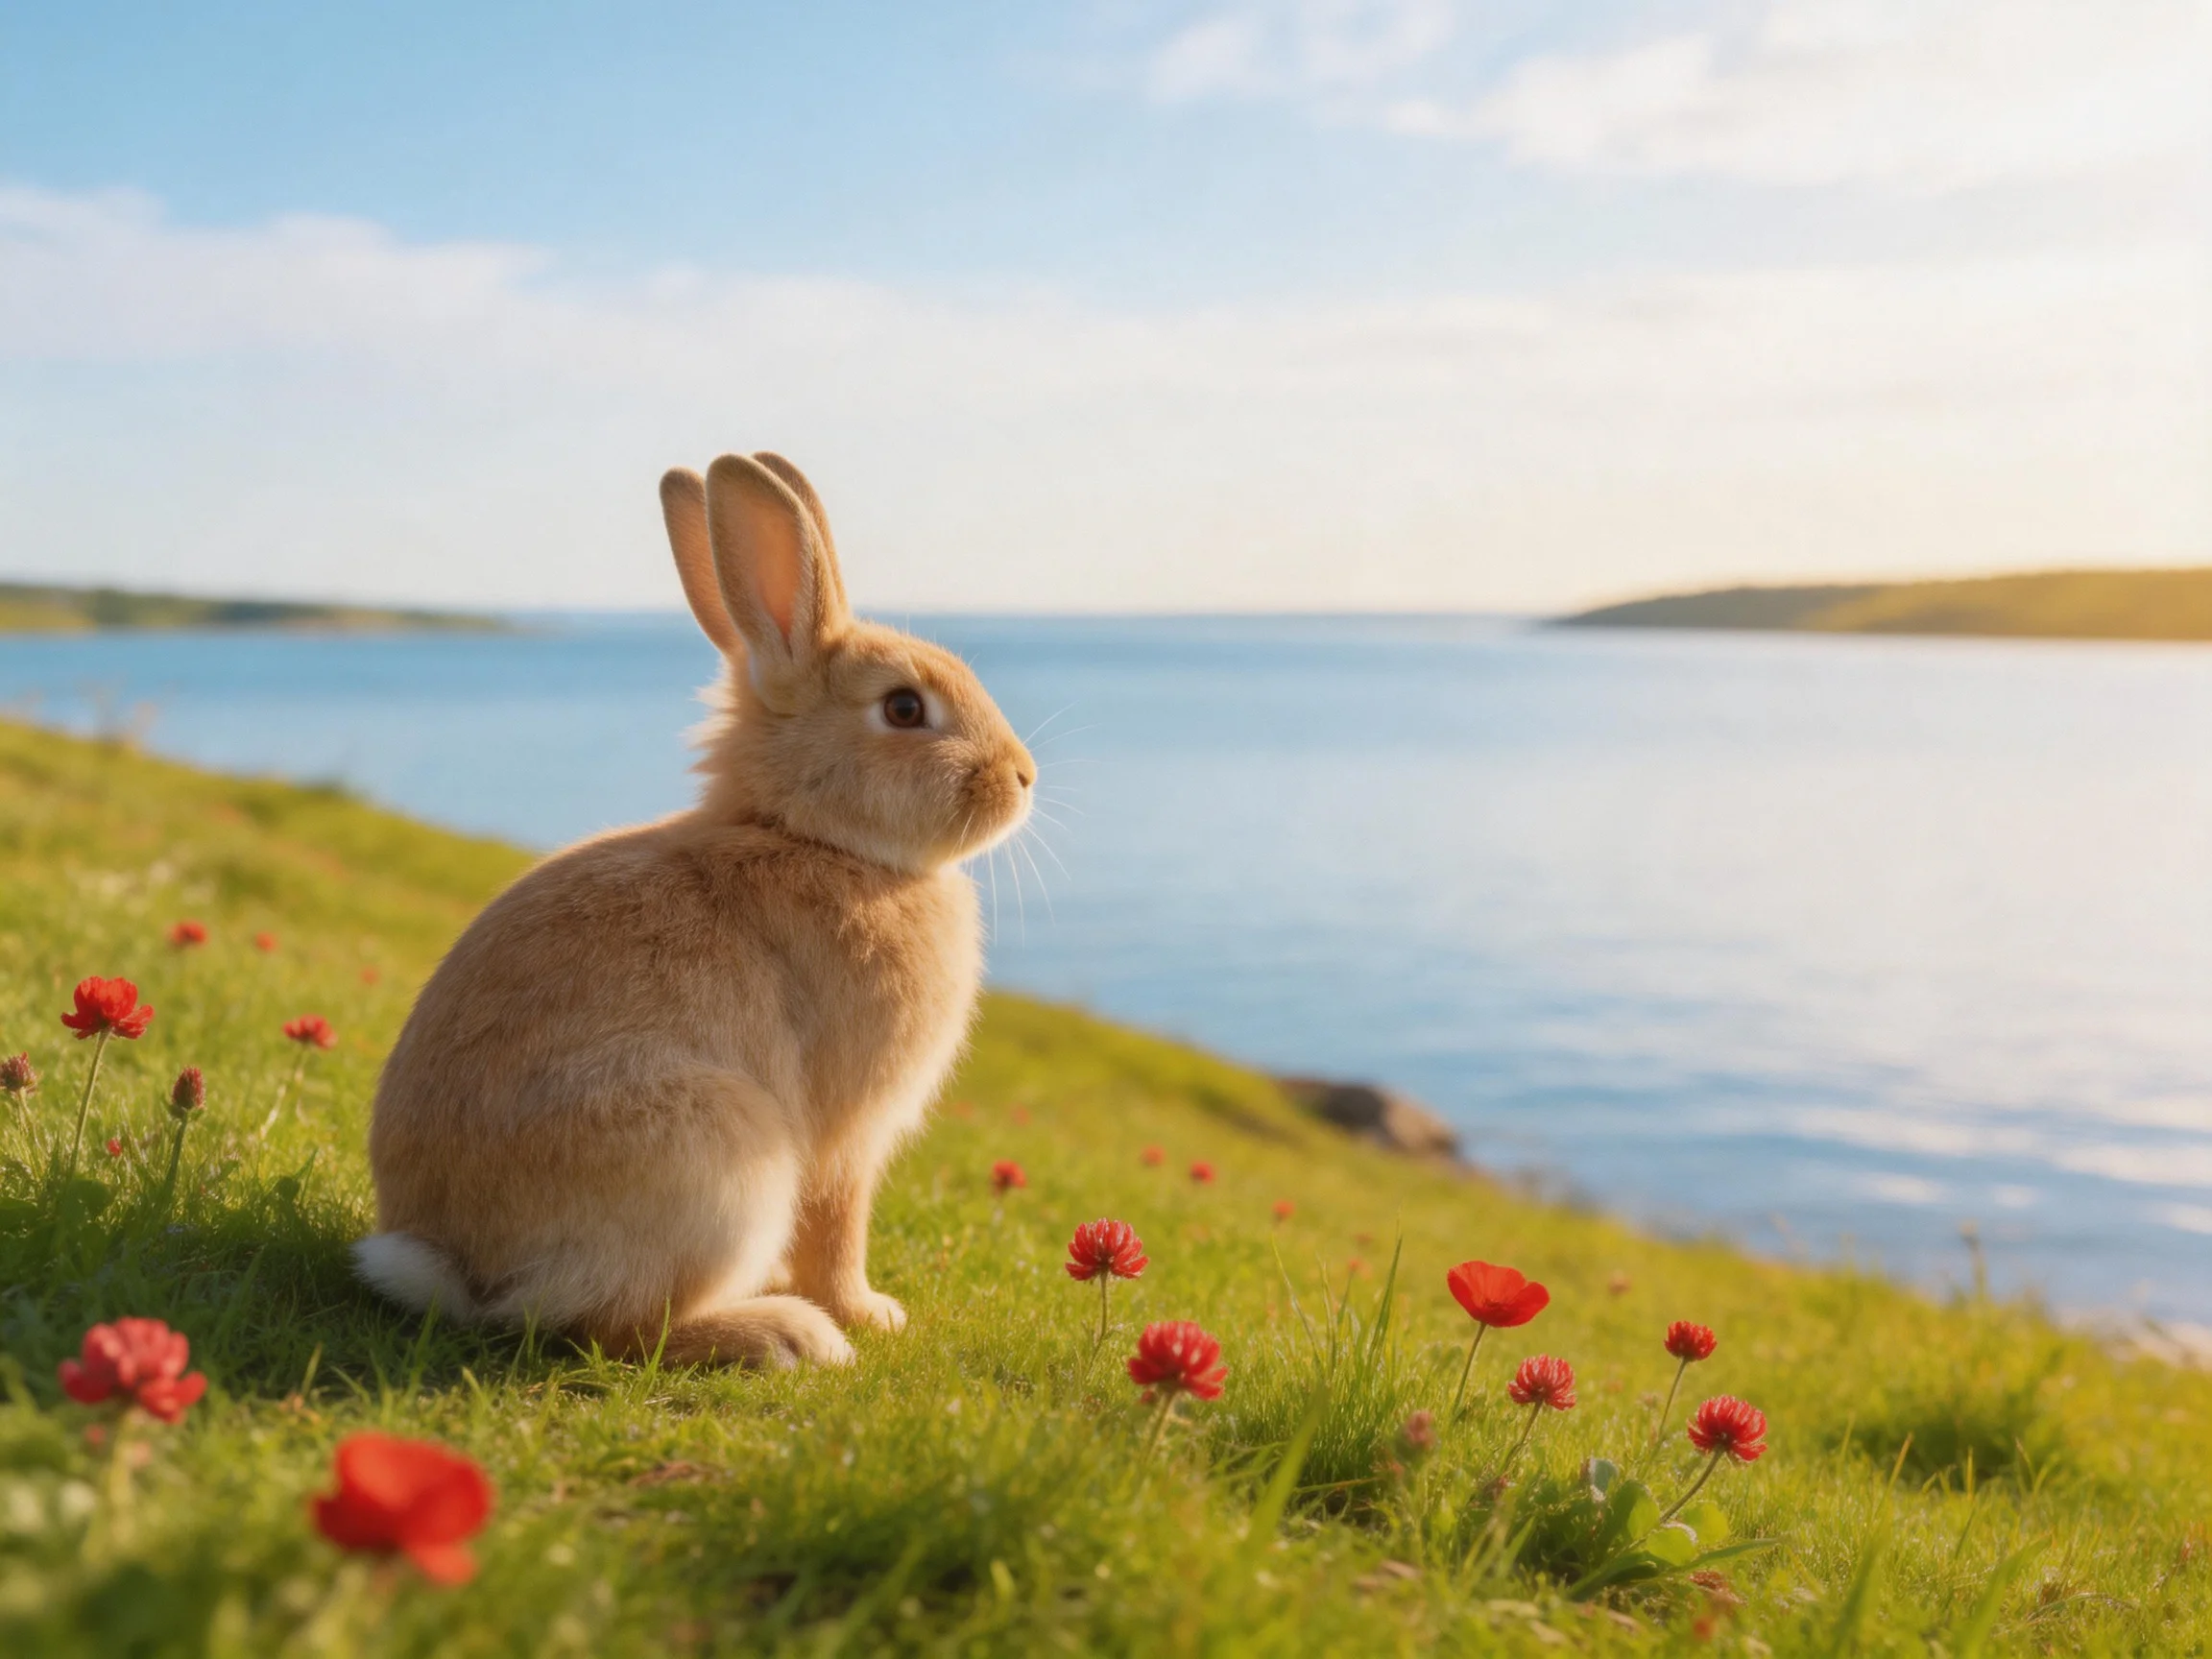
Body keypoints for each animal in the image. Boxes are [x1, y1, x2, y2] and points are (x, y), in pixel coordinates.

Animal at [353, 452, 1035, 1368]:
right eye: (902, 708)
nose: (1023, 776)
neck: (814, 837)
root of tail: (461, 1266)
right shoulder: (843, 1139)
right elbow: (836, 1229)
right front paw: (868, 1313)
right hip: (722, 1160)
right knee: (621, 1326)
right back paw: (790, 1334)